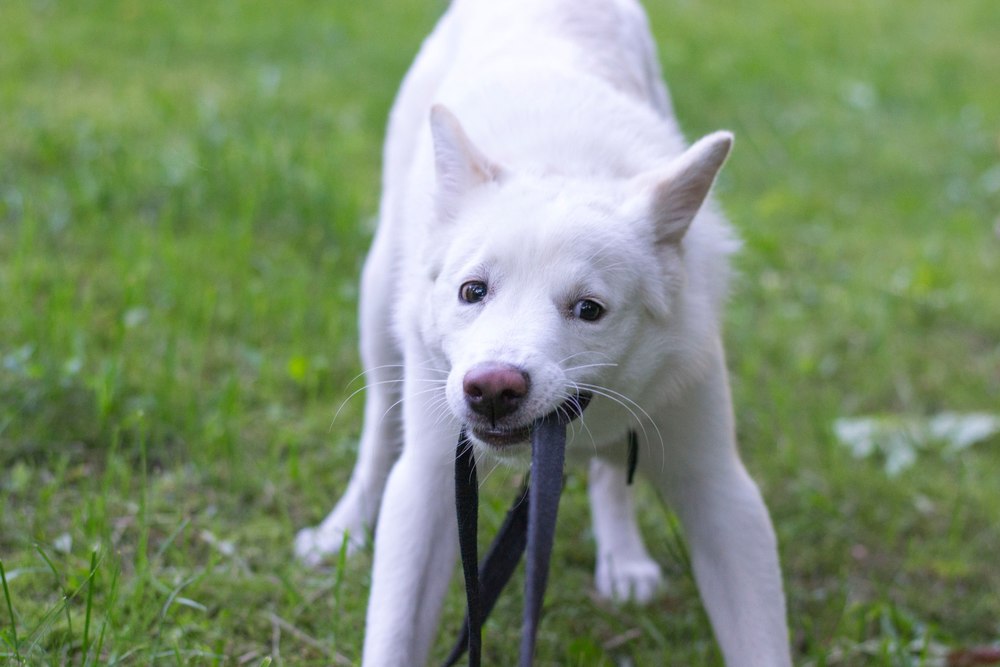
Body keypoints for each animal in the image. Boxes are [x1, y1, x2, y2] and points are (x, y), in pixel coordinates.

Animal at [292, 1, 792, 664]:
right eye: (472, 291)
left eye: (589, 309)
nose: (492, 389)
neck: (567, 165)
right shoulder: (431, 480)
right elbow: (394, 633)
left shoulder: (722, 490)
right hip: (377, 309)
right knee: (377, 428)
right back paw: (341, 528)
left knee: (610, 473)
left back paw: (623, 558)